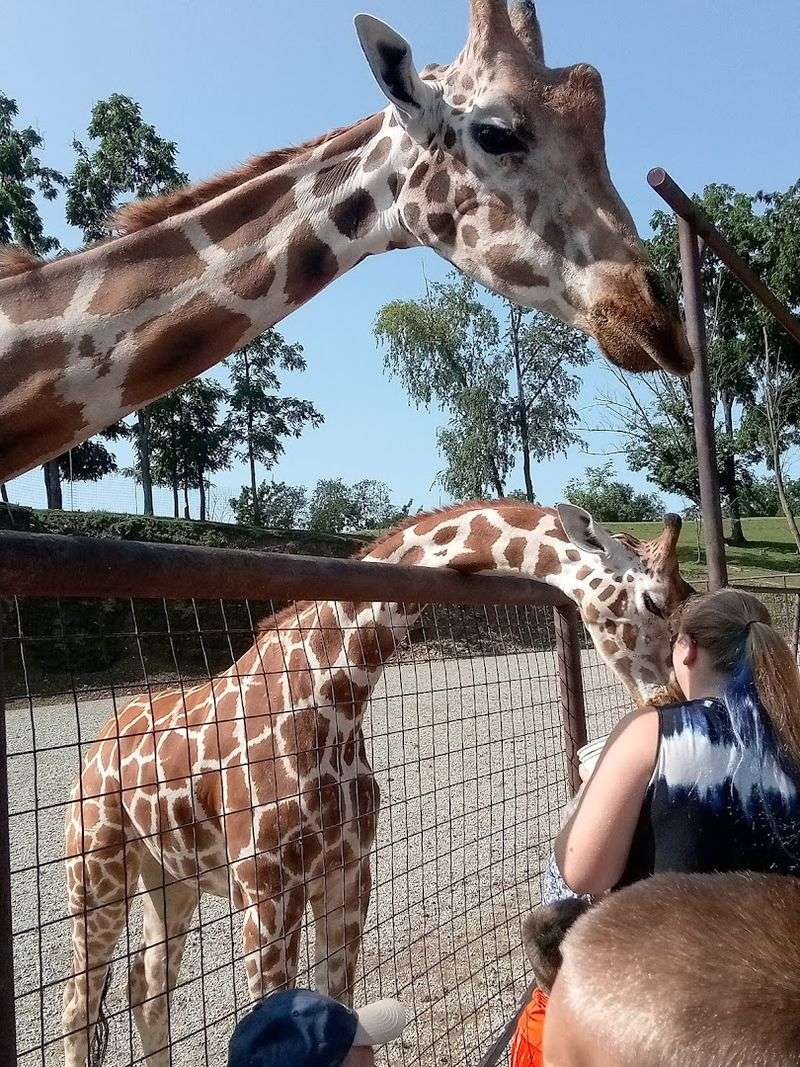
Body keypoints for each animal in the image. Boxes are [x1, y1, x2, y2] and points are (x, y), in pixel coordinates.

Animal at [62, 499, 690, 1066]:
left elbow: (340, 1008)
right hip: (96, 870)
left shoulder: (347, 876)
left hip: (170, 878)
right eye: (654, 600)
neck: (333, 700)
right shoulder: (266, 890)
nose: (669, 700)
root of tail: (99, 742)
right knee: (79, 1005)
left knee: (147, 989)